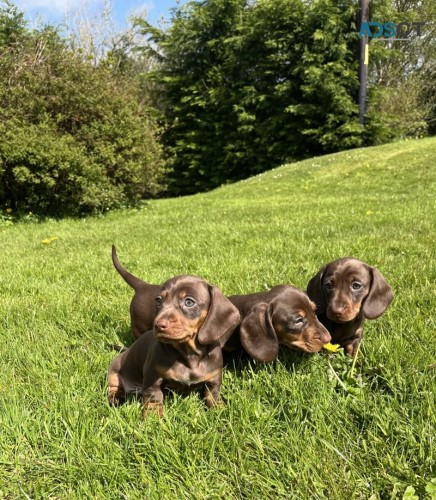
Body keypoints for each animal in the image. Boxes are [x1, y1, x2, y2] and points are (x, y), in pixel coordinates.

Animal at [107, 276, 240, 416]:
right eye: (158, 300)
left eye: (189, 302)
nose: (158, 324)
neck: (189, 353)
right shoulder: (152, 375)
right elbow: (154, 397)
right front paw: (153, 417)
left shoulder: (214, 378)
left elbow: (213, 395)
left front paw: (219, 410)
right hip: (114, 370)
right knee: (114, 385)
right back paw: (115, 398)